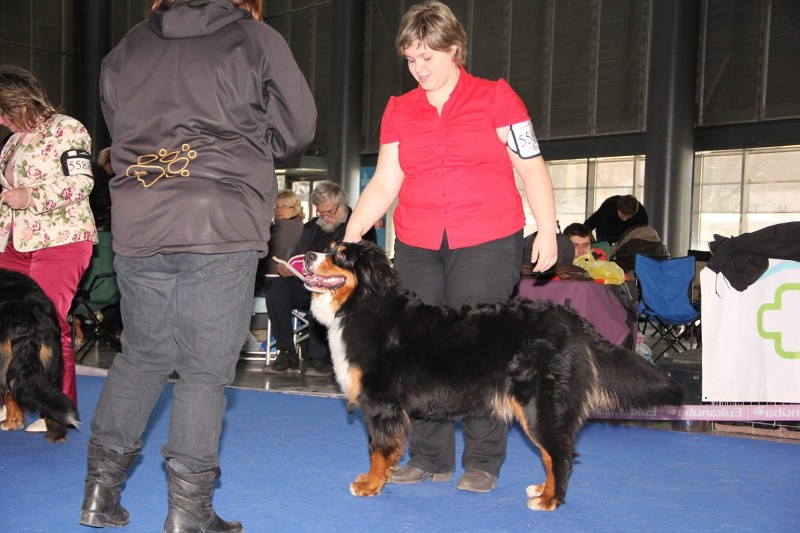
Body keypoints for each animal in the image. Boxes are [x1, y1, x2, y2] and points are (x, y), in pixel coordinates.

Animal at [304, 241, 684, 512]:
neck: (363, 304)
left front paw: (369, 484)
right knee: (553, 454)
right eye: (329, 247)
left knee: (558, 453)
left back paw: (550, 500)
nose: (307, 255)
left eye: (341, 255)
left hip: (538, 405)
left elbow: (378, 450)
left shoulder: (381, 403)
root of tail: (571, 319)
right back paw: (543, 490)